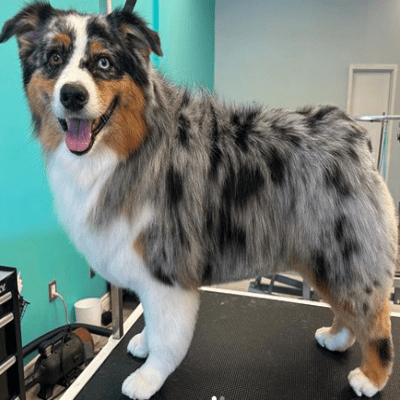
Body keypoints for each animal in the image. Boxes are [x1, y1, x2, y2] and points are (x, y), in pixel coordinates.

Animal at [0, 1, 396, 398]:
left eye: (104, 62)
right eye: (54, 57)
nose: (72, 95)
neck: (130, 148)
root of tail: (355, 134)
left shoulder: (166, 267)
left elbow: (167, 337)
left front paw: (149, 376)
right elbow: (151, 321)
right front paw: (143, 343)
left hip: (343, 250)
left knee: (374, 318)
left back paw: (371, 377)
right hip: (322, 255)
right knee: (348, 309)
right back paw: (337, 339)